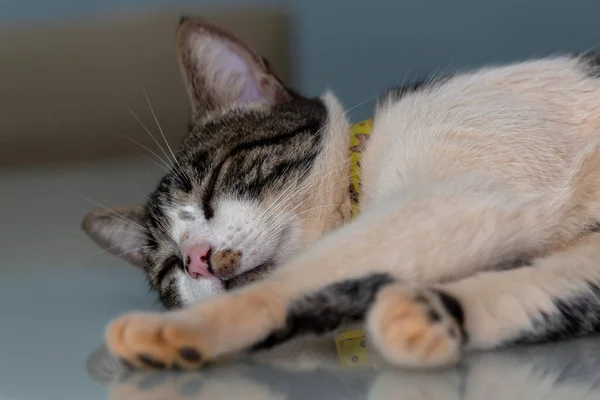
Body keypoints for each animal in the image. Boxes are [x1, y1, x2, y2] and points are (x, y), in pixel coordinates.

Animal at [83, 17, 600, 370]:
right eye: (170, 268)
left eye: (215, 182)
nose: (196, 260)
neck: (362, 174)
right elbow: (551, 290)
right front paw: (431, 314)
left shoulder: (463, 193)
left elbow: (309, 272)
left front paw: (179, 328)